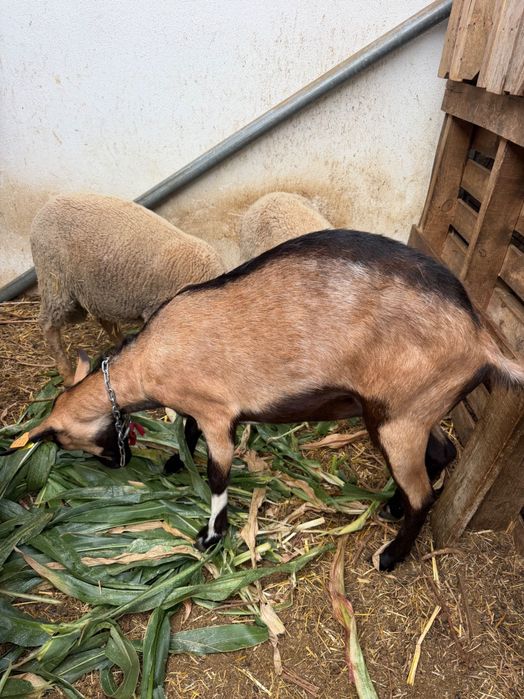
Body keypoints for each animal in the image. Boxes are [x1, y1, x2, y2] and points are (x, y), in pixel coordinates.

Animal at [10, 230, 523, 571]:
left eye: (63, 442)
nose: (117, 462)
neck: (149, 358)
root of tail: (482, 340)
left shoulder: (218, 414)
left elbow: (218, 476)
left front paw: (210, 536)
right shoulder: (198, 408)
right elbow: (186, 428)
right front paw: (176, 462)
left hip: (398, 420)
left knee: (424, 494)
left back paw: (391, 556)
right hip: (409, 411)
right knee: (442, 452)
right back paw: (393, 508)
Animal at [30, 193, 224, 385]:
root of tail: (47, 206)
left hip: (97, 288)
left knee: (104, 319)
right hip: (53, 277)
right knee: (48, 324)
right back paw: (68, 376)